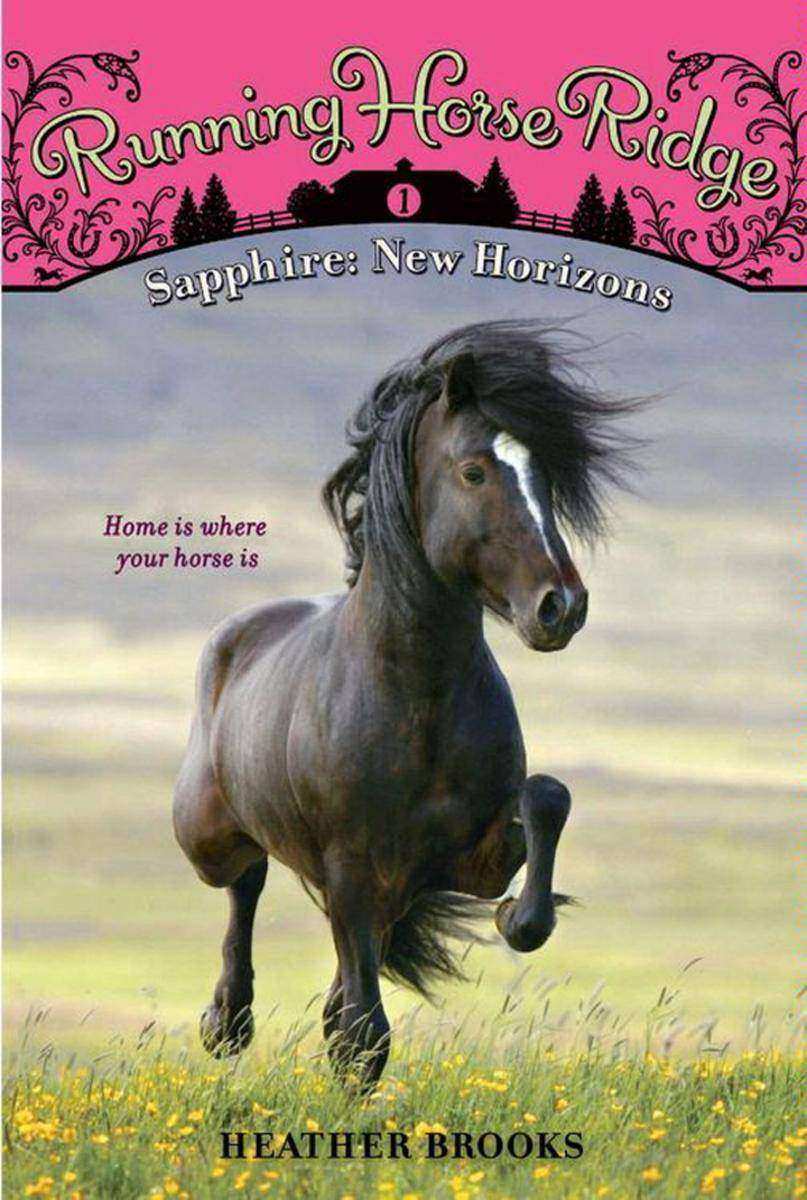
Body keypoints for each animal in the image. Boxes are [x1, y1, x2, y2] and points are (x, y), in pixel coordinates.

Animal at [173, 319, 639, 1087]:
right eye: (474, 471)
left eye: (544, 474)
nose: (561, 607)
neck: (415, 698)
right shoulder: (351, 869)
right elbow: (364, 1033)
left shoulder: (460, 864)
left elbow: (546, 798)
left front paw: (515, 917)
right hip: (208, 839)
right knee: (246, 881)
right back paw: (227, 1023)